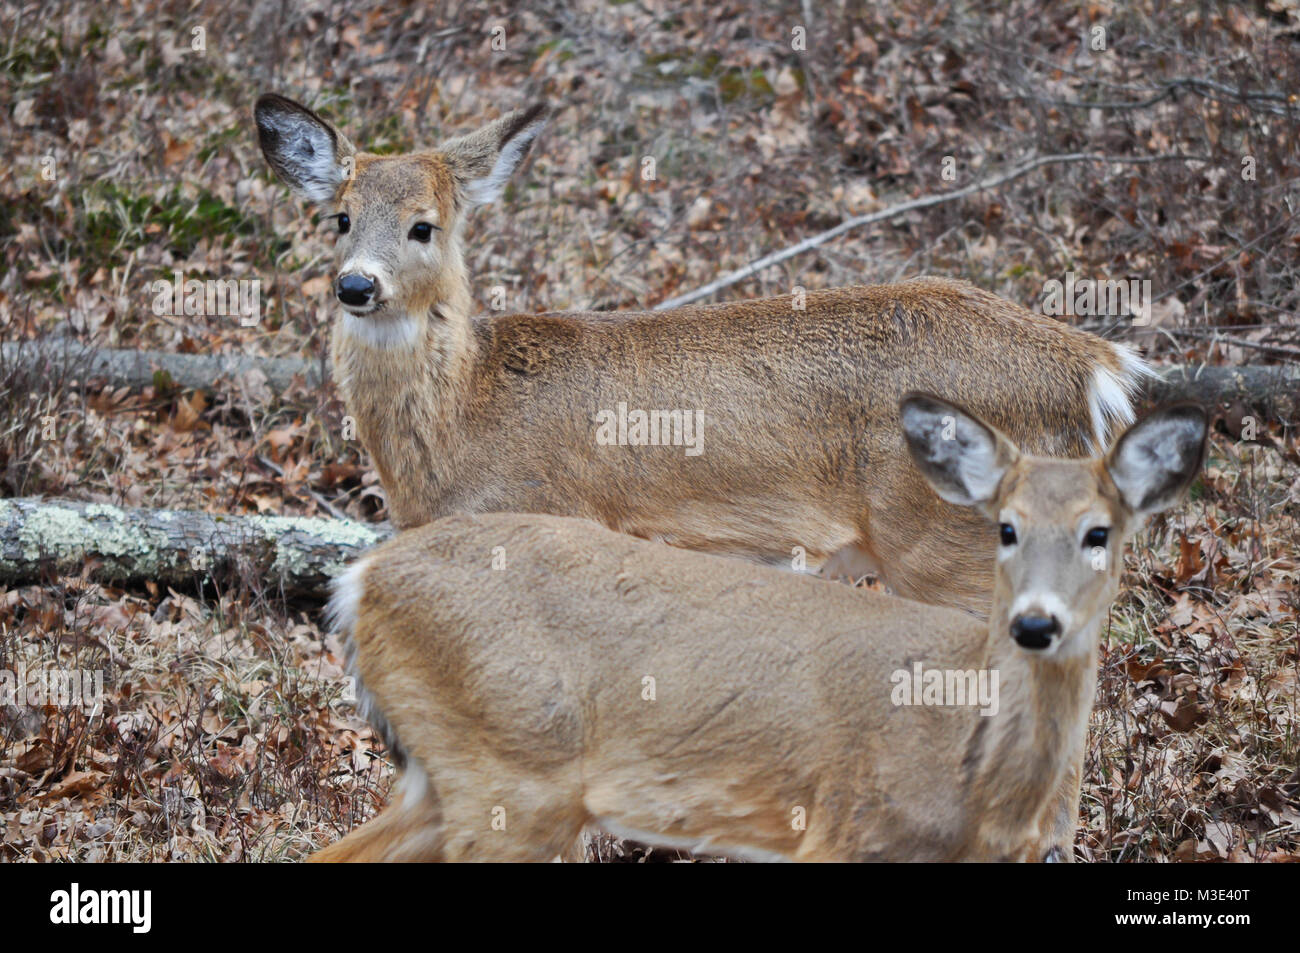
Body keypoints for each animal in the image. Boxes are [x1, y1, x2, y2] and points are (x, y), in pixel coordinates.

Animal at [253, 94, 1149, 616]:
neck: (468, 416)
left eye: (423, 225)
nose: (356, 285)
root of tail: (1087, 364)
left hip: (952, 546)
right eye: (339, 217)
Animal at [309, 395, 1201, 863]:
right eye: (1006, 528)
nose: (1036, 623)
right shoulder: (841, 833)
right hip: (513, 776)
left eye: (1100, 532)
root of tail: (359, 582)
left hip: (451, 778)